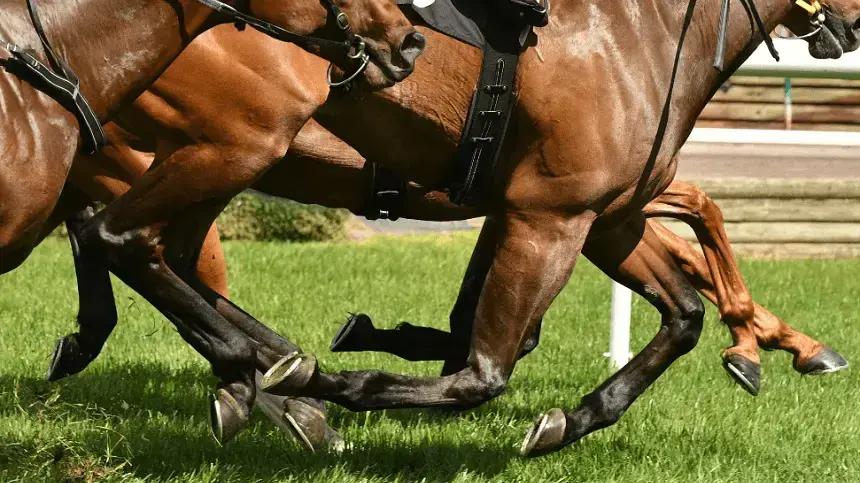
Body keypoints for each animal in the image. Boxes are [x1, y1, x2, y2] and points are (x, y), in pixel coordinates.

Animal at [60, 0, 859, 456]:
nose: (851, 26)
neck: (640, 35)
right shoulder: (548, 214)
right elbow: (484, 368)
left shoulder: (602, 215)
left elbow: (684, 310)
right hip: (227, 145)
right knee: (127, 241)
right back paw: (277, 381)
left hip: (200, 158)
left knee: (155, 253)